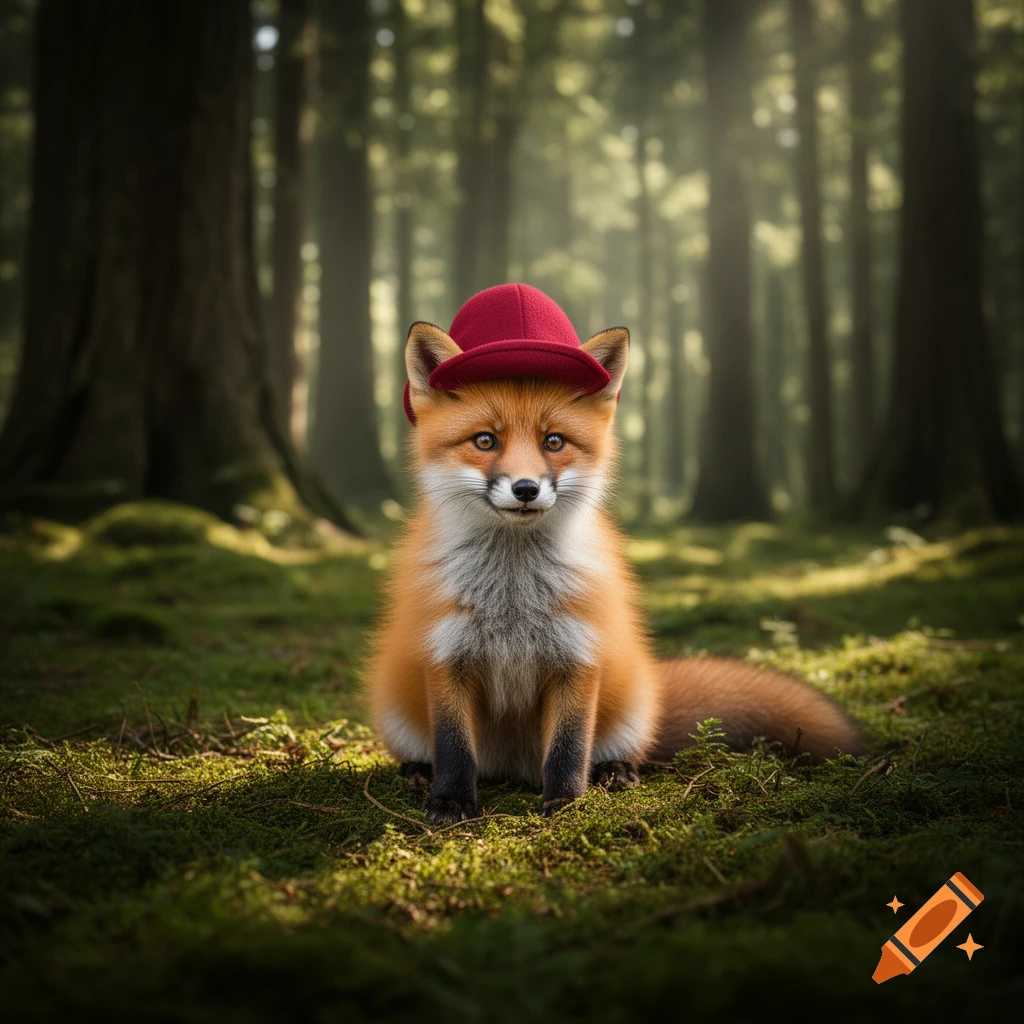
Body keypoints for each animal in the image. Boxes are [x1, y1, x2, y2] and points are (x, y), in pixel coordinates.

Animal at [368, 316, 864, 825]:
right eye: (485, 440)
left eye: (553, 441)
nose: (525, 489)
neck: (512, 598)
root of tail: (511, 767)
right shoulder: (445, 655)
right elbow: (453, 746)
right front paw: (450, 801)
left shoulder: (579, 655)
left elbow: (569, 748)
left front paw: (568, 804)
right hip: (397, 708)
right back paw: (417, 771)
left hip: (629, 707)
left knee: (616, 751)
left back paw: (614, 771)